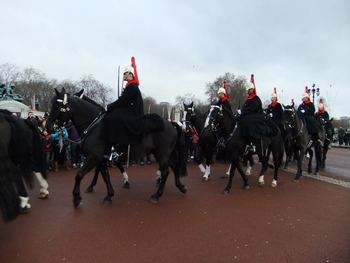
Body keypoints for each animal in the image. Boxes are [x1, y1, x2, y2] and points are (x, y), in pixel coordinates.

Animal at [47, 87, 187, 207]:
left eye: (56, 106)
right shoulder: (101, 159)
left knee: (165, 171)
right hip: (164, 154)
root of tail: (171, 123)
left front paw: (76, 198)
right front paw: (108, 195)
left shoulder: (94, 157)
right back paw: (181, 187)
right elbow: (105, 176)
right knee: (174, 166)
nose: (48, 128)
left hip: (162, 154)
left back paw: (157, 195)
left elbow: (79, 175)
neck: (94, 126)